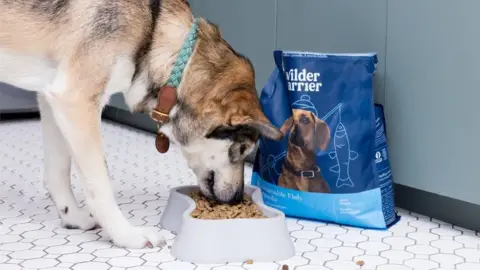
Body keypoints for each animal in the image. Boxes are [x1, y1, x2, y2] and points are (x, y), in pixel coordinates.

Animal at [0, 0, 282, 249]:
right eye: (243, 149)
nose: (236, 200)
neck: (153, 30)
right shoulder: (76, 100)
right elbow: (101, 184)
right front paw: (126, 235)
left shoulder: (52, 99)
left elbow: (57, 172)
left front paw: (73, 218)